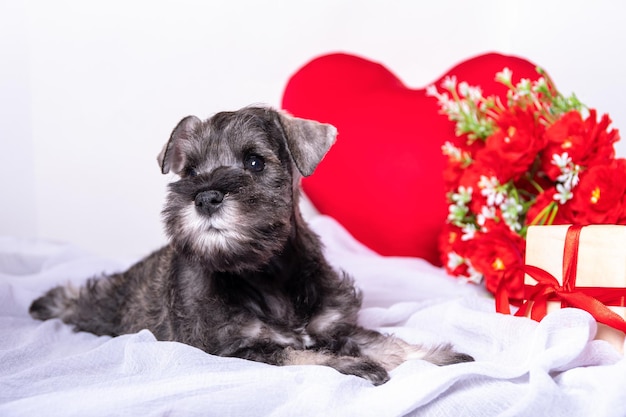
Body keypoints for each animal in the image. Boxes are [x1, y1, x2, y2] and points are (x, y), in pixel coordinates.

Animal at [28, 105, 468, 386]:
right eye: (190, 170)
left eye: (255, 161)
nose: (205, 196)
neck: (264, 273)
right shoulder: (234, 349)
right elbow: (303, 354)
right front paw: (355, 365)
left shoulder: (336, 325)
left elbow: (384, 341)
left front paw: (440, 355)